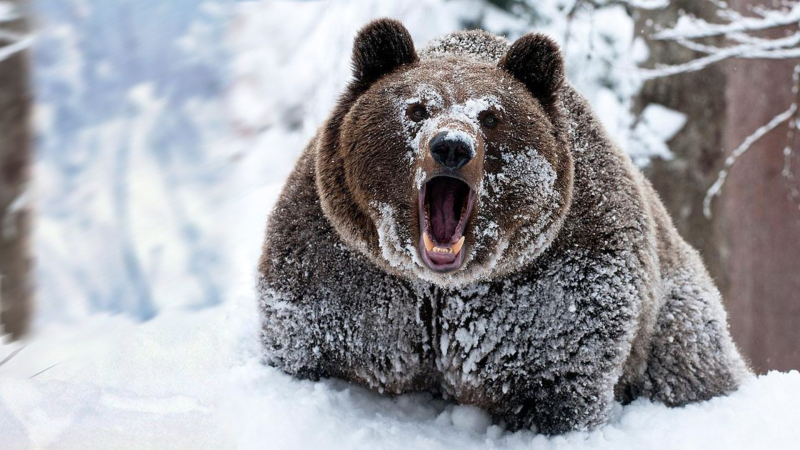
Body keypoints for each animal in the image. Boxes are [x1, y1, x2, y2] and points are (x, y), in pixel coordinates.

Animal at [260, 19, 752, 434]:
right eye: (417, 108)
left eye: (491, 116)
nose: (451, 146)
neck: (441, 287)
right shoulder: (348, 269)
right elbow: (310, 339)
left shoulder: (552, 283)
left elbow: (558, 374)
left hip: (675, 314)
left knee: (689, 362)